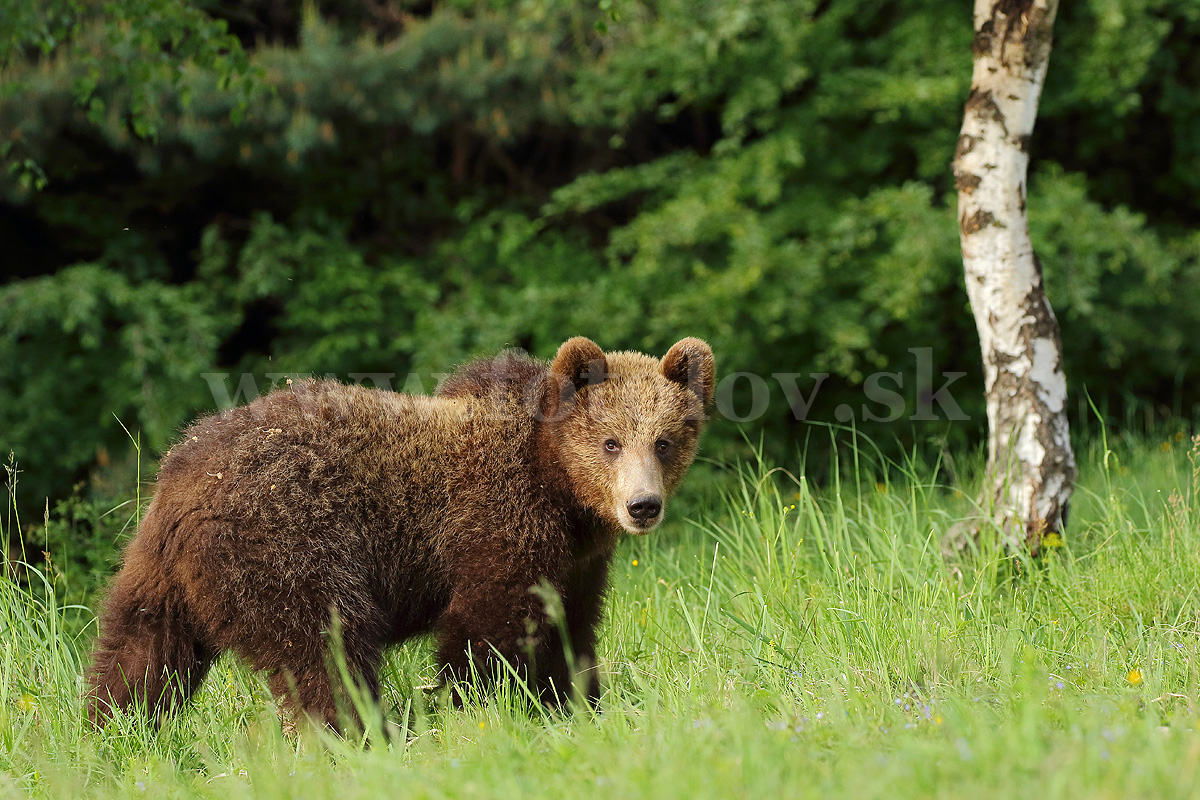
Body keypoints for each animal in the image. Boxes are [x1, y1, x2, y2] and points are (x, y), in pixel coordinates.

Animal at [91, 335, 710, 729]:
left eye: (664, 440)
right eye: (611, 442)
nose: (642, 505)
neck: (561, 490)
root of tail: (183, 476)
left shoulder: (579, 562)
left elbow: (571, 631)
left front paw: (582, 705)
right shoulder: (497, 523)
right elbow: (489, 629)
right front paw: (491, 708)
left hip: (155, 568)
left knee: (138, 652)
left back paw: (118, 731)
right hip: (288, 541)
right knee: (327, 648)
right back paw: (362, 734)